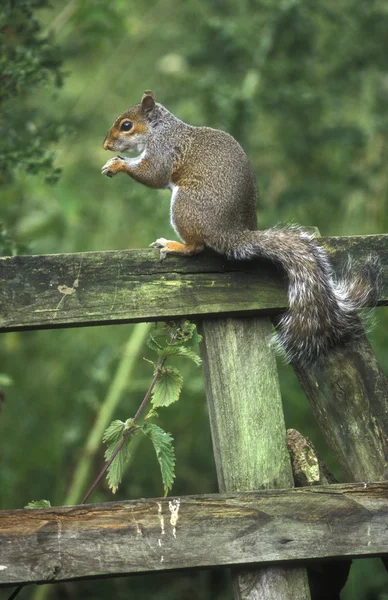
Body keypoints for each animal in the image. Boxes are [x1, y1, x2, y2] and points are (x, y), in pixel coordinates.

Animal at [101, 89, 378, 366]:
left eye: (126, 125)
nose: (105, 145)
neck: (160, 128)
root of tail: (231, 233)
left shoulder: (164, 150)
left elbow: (153, 175)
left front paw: (118, 164)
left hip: (185, 206)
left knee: (196, 247)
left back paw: (173, 245)